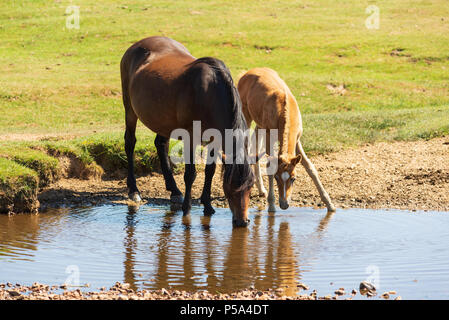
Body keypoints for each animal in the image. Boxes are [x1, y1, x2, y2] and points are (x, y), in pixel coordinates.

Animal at [121, 36, 254, 226]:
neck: (209, 94)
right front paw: (187, 208)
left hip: (163, 120)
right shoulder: (191, 137)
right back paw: (134, 190)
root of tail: (136, 45)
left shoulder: (214, 139)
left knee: (160, 144)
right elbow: (190, 174)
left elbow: (210, 171)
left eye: (251, 186)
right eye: (230, 187)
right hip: (130, 110)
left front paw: (207, 205)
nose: (243, 221)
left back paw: (174, 190)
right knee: (130, 143)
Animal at [236, 67, 334, 212]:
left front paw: (329, 203)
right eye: (277, 177)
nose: (284, 204)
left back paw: (261, 190)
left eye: (293, 178)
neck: (283, 111)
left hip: (259, 125)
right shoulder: (269, 137)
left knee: (255, 148)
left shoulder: (297, 140)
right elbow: (270, 166)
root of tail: (245, 74)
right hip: (246, 119)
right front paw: (271, 206)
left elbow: (309, 166)